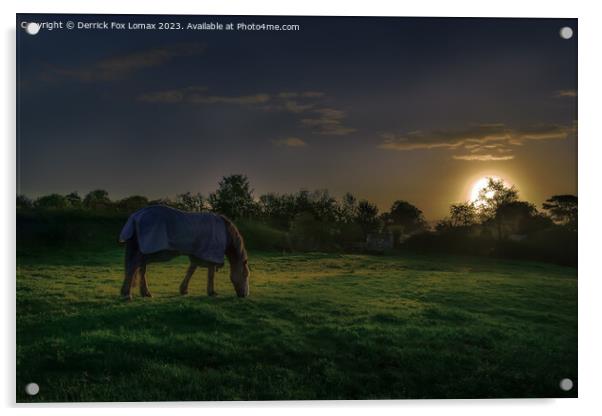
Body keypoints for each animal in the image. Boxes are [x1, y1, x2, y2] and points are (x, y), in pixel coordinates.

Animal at [117, 206, 248, 300]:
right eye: (246, 275)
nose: (245, 295)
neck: (226, 233)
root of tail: (136, 216)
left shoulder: (198, 253)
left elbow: (191, 269)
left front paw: (183, 289)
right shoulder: (211, 253)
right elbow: (211, 273)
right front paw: (211, 292)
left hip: (145, 250)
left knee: (140, 267)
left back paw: (143, 292)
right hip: (148, 249)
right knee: (134, 265)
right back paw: (127, 294)